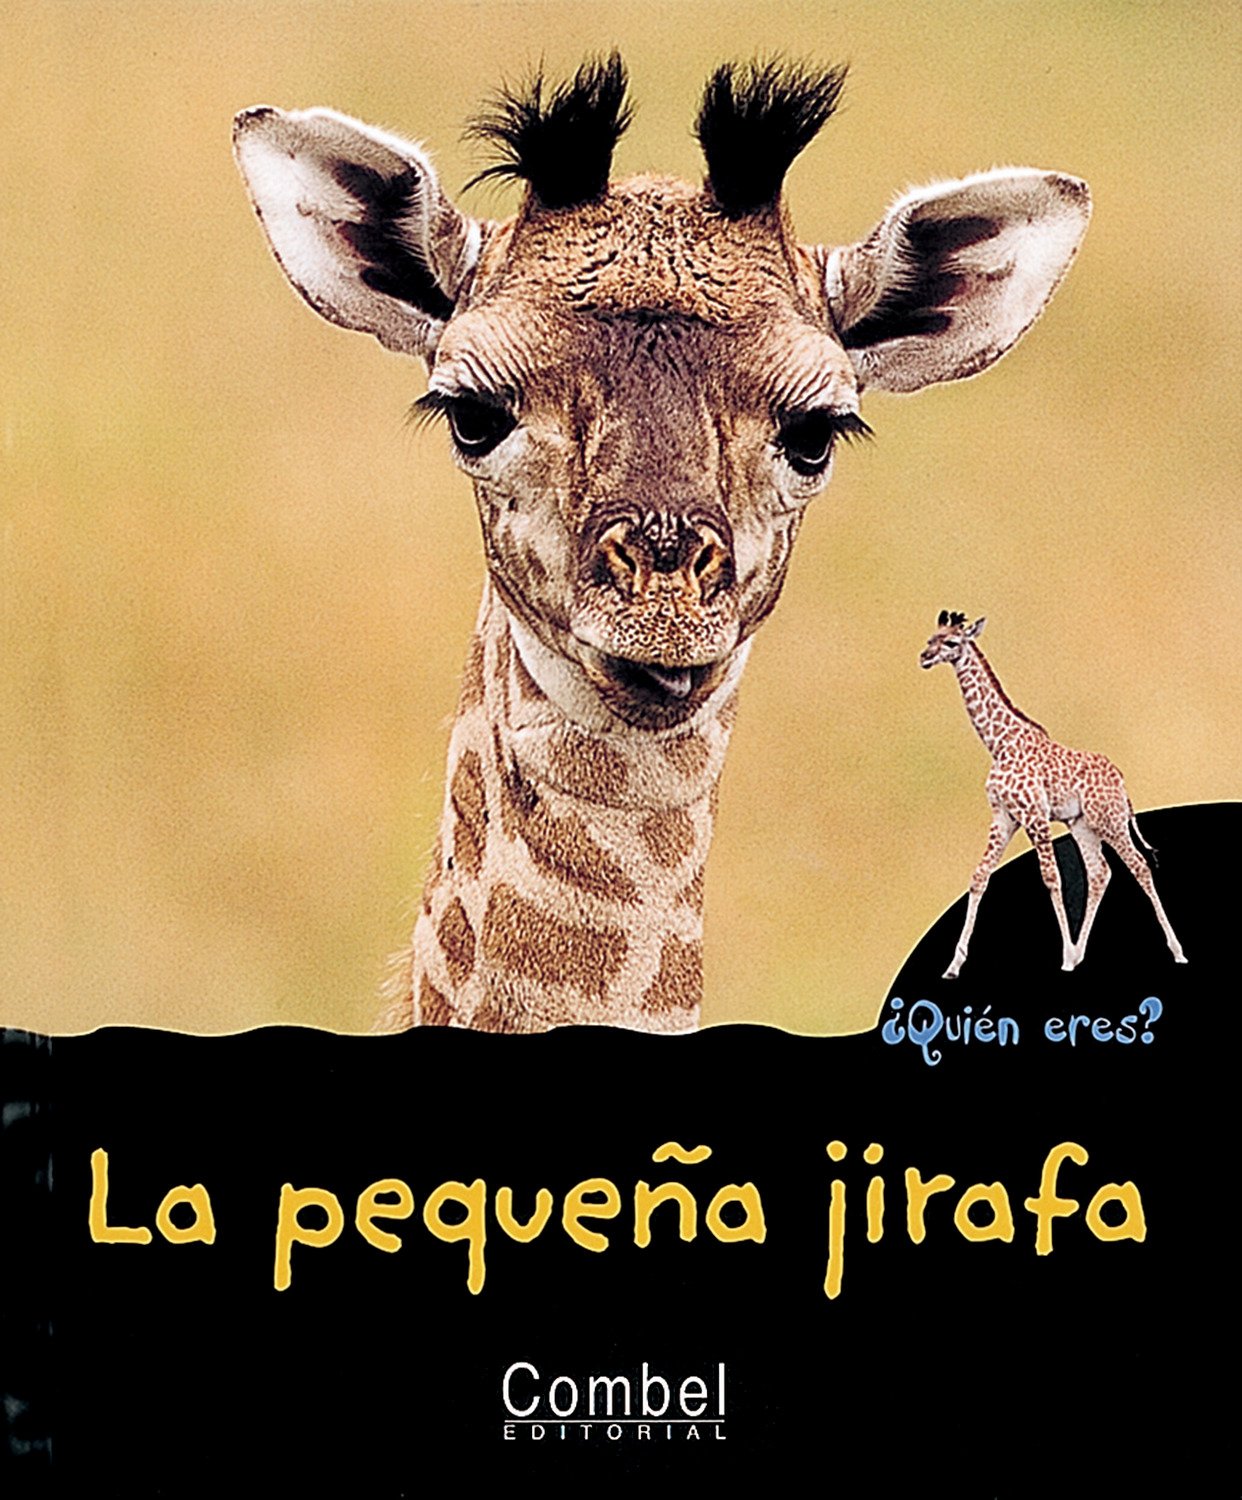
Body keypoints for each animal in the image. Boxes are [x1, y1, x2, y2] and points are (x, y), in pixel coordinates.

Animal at [921, 611, 1188, 978]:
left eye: (950, 642)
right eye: (930, 638)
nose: (924, 657)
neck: (998, 743)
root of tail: (1121, 781)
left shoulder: (1034, 815)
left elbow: (1051, 878)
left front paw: (1063, 955)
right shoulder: (1003, 817)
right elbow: (979, 875)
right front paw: (953, 965)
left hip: (1110, 821)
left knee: (1139, 865)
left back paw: (1176, 951)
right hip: (1083, 825)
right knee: (1100, 872)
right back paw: (1080, 954)